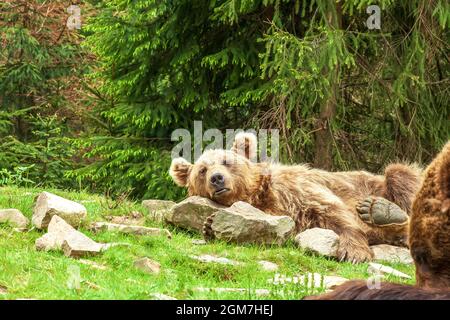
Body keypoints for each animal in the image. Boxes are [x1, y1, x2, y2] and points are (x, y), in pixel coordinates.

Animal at [170, 132, 422, 262]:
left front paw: (353, 252)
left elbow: (335, 213)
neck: (260, 196)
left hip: (382, 182)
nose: (217, 178)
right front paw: (210, 225)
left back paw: (382, 211)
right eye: (202, 170)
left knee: (400, 174)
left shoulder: (298, 189)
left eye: (226, 161)